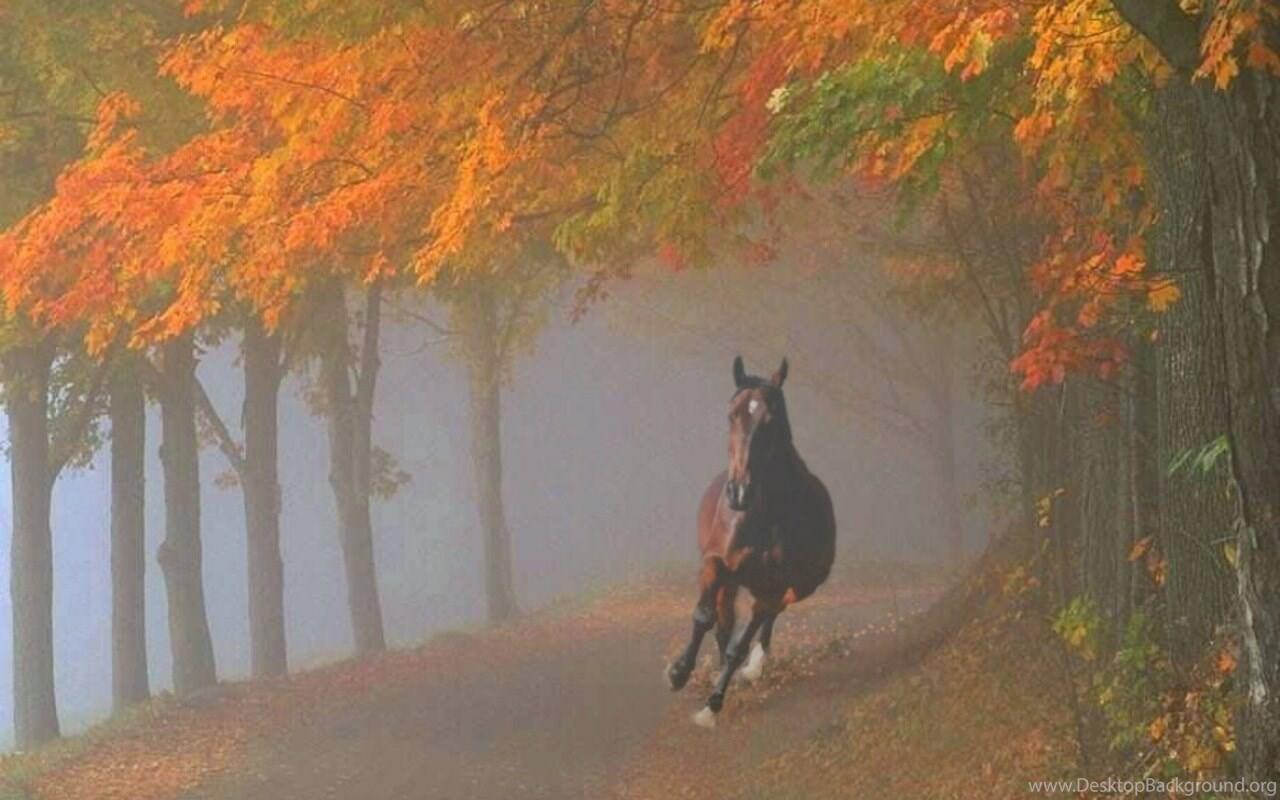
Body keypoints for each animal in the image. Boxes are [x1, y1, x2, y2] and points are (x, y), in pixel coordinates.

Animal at [665, 353, 834, 721]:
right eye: (732, 414)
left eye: (771, 420)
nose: (739, 492)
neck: (766, 515)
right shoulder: (717, 563)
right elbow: (704, 617)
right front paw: (679, 672)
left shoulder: (774, 586)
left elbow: (739, 645)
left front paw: (712, 705)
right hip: (735, 582)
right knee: (726, 624)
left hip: (799, 587)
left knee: (768, 617)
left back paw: (753, 667)